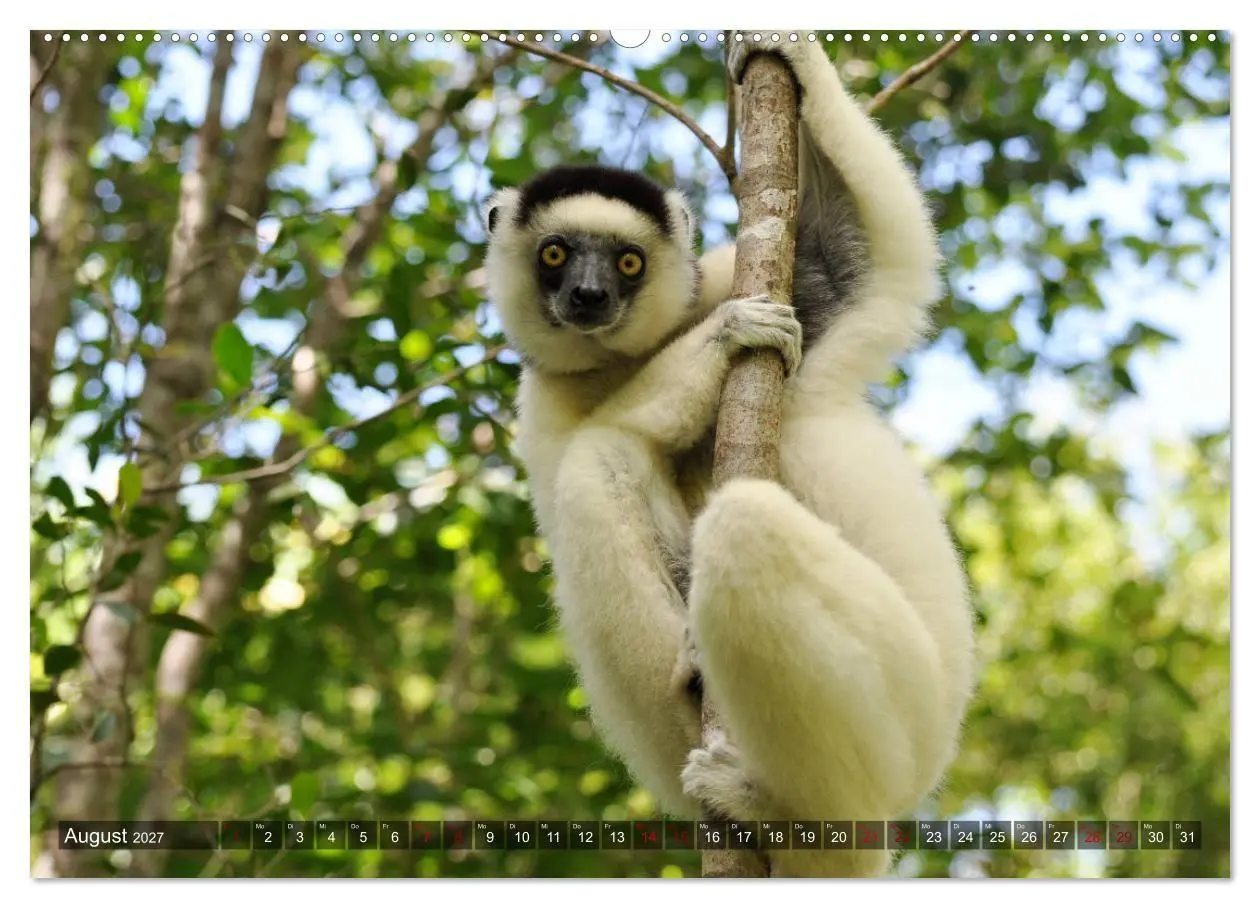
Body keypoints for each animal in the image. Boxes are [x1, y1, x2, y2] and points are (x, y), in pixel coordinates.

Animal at [481, 35, 975, 877]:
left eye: (628, 263)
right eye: (554, 254)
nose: (587, 298)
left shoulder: (741, 280)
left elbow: (854, 259)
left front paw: (790, 53)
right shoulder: (540, 412)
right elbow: (595, 449)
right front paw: (722, 339)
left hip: (911, 711)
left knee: (729, 524)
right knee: (612, 475)